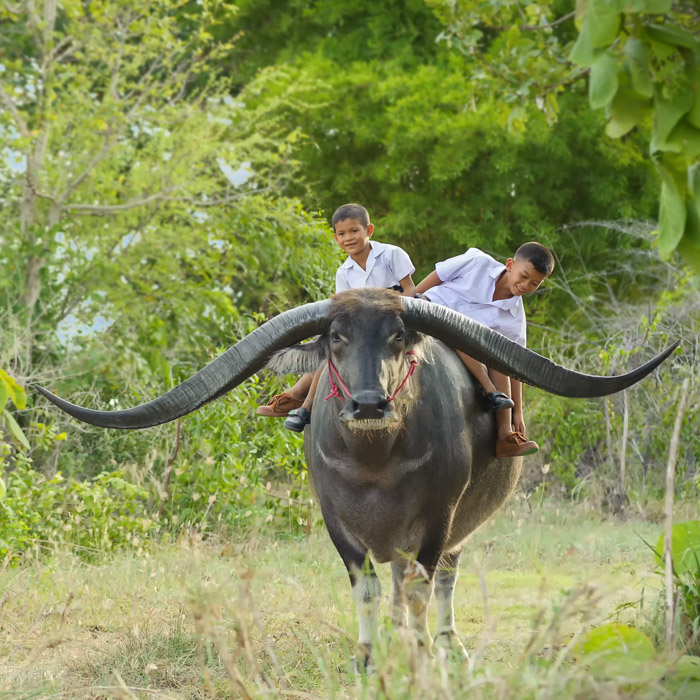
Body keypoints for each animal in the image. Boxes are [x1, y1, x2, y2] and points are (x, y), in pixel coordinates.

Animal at [37, 290, 680, 668]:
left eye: (397, 335)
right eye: (336, 338)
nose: (369, 403)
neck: (377, 464)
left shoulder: (437, 522)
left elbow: (419, 590)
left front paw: (417, 655)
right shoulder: (337, 523)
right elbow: (367, 590)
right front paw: (371, 659)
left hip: (458, 532)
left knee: (442, 582)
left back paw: (446, 646)